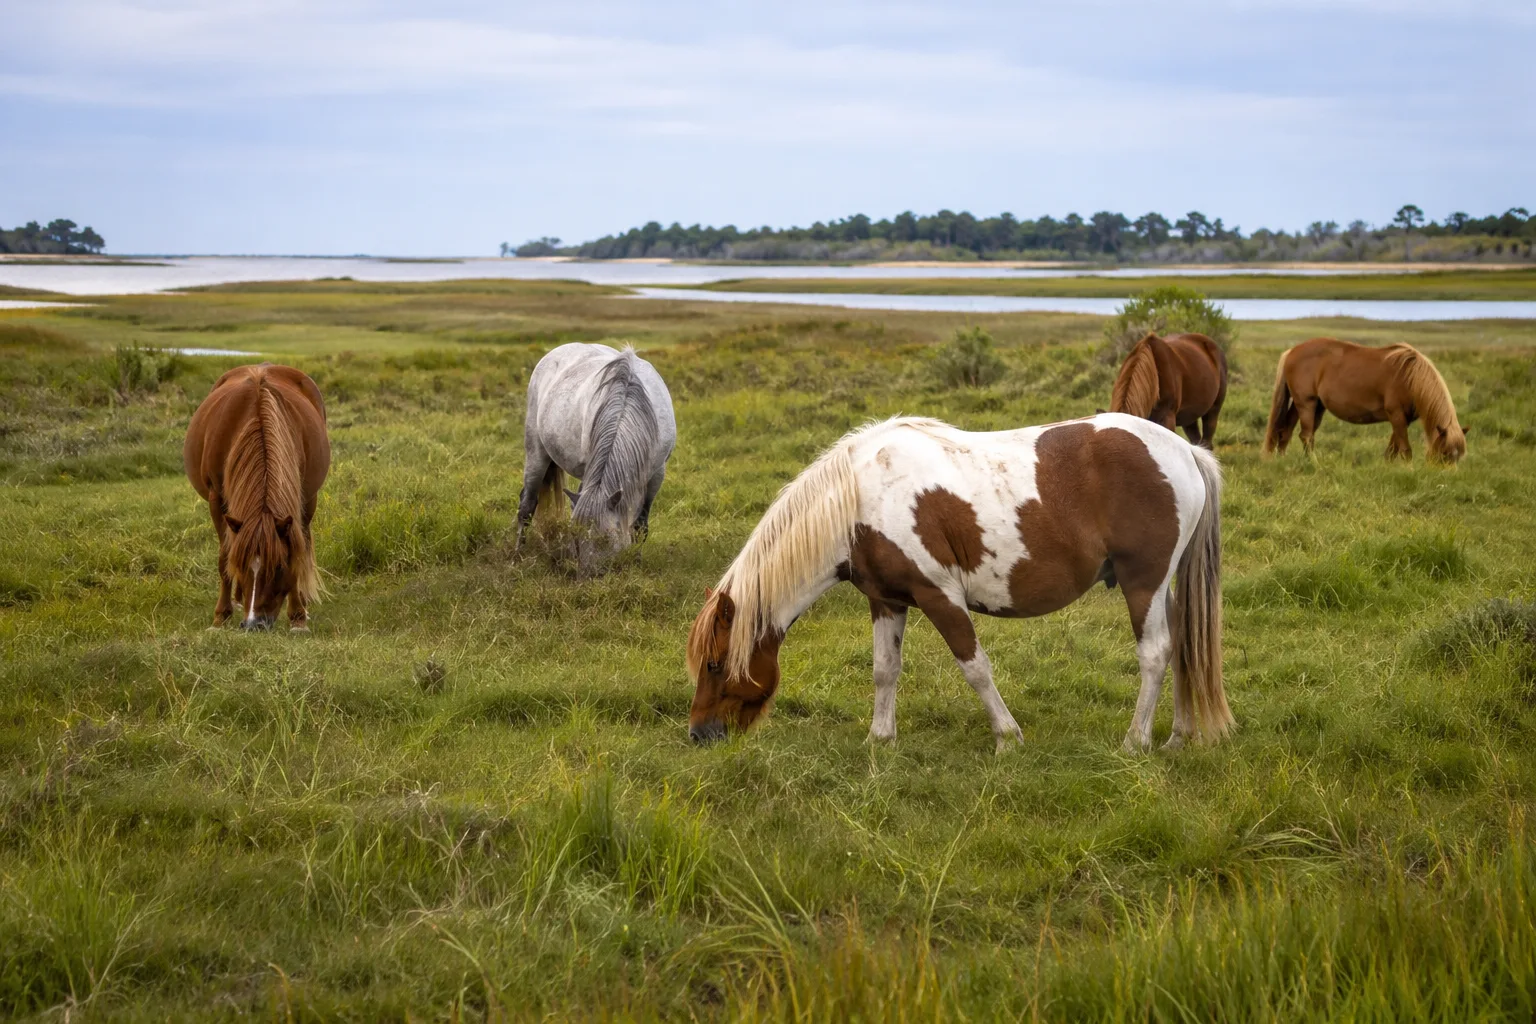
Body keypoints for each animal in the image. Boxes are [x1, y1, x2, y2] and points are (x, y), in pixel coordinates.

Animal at [184, 364, 330, 631]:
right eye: (242, 564)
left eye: (279, 567)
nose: (254, 624)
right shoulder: (217, 499)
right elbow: (225, 558)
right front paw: (220, 616)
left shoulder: (299, 502)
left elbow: (298, 552)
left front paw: (298, 616)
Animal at [515, 343, 677, 573]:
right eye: (576, 535)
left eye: (606, 539)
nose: (587, 576)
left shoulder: (656, 475)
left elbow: (640, 525)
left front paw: (636, 562)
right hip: (536, 453)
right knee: (527, 505)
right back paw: (517, 555)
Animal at [686, 413, 1232, 754]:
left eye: (714, 664)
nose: (698, 734)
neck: (860, 500)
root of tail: (1185, 450)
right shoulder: (887, 601)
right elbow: (885, 669)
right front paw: (879, 740)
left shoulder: (940, 597)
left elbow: (975, 668)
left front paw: (1007, 738)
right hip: (1163, 588)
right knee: (1182, 647)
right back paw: (1177, 737)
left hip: (1144, 582)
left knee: (1155, 654)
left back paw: (1136, 742)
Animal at [1263, 338, 1468, 463]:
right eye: (1445, 454)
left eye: (1458, 457)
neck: (1411, 377)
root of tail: (1291, 351)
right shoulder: (1397, 415)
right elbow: (1405, 449)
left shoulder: (1404, 419)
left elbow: (1392, 448)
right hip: (1306, 403)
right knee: (1305, 435)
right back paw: (1314, 463)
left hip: (1311, 405)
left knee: (1286, 432)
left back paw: (1283, 460)